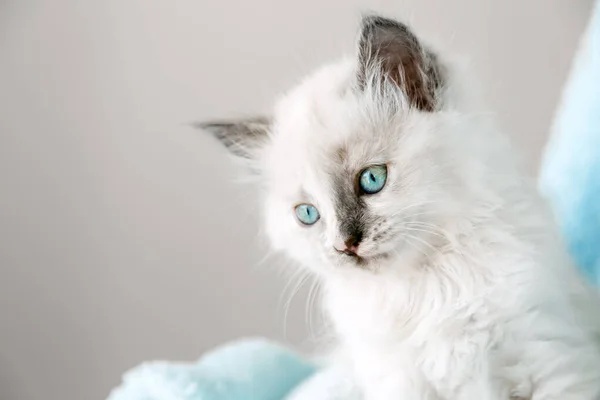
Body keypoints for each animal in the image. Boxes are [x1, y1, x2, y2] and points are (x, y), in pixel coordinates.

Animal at [200, 14, 600, 400]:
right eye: (308, 214)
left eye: (372, 179)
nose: (344, 245)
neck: (427, 286)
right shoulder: (397, 381)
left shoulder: (549, 357)